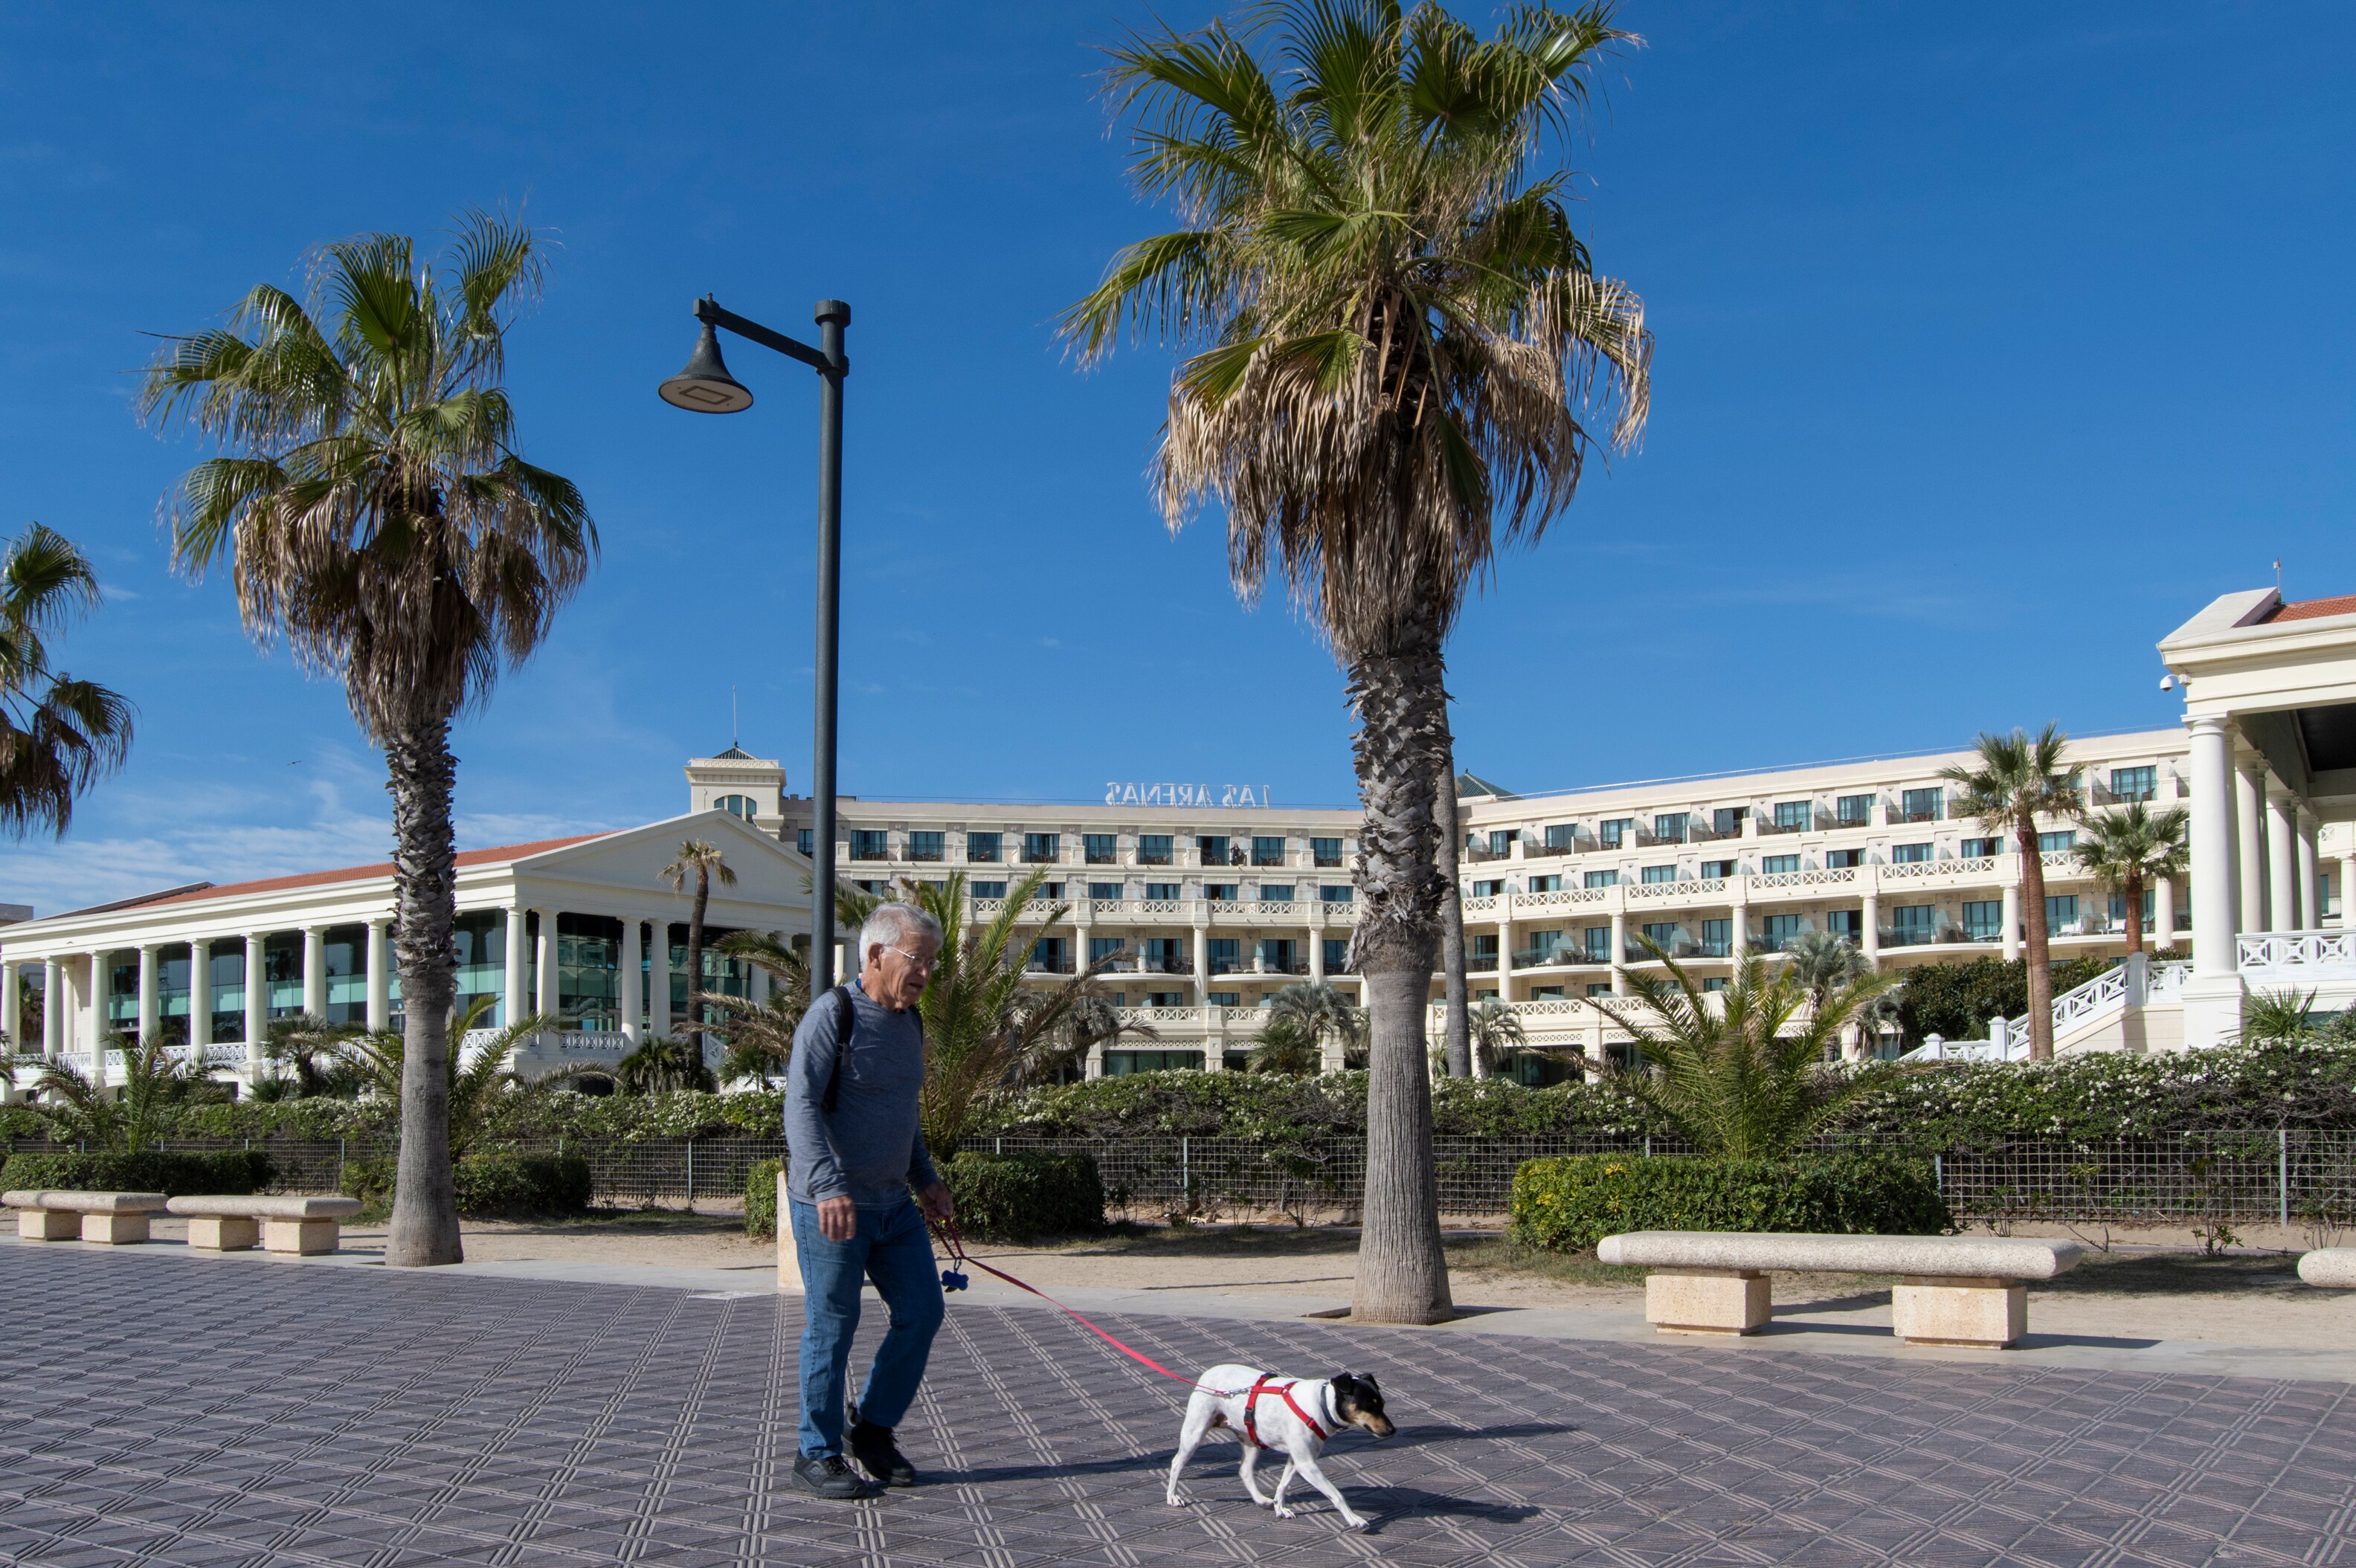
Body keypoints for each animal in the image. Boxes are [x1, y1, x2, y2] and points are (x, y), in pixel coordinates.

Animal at [1163, 1356, 1394, 1526]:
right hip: (1195, 1433)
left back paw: (1261, 1499)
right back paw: (1173, 1497)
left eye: (1382, 1404)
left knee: (1244, 1471)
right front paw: (1354, 1519)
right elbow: (1336, 1494)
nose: (1393, 1430)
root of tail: (1207, 1373)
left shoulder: (1297, 1459)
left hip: (1251, 1441)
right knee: (1176, 1463)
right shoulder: (1307, 1464)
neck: (1322, 1405)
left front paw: (1280, 1508)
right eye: (1369, 1406)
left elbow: (1283, 1486)